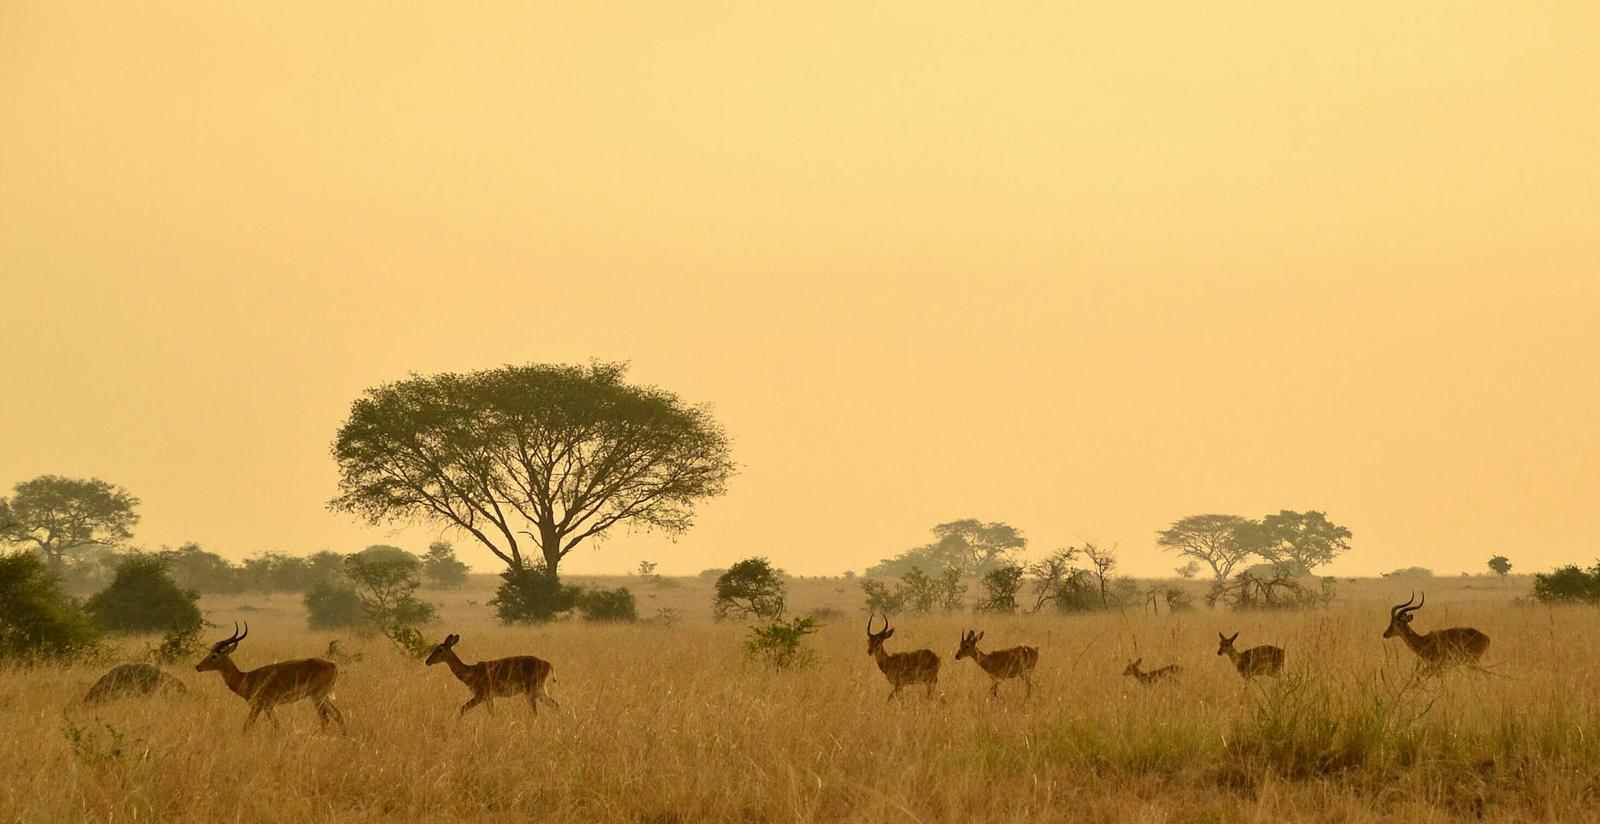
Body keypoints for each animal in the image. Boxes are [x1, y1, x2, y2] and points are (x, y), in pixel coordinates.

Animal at [194, 623, 346, 732]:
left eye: (214, 655)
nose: (198, 667)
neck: (247, 678)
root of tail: (333, 665)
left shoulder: (258, 706)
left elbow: (247, 726)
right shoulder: (269, 707)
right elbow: (277, 726)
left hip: (316, 696)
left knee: (325, 719)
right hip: (323, 696)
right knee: (338, 715)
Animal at [425, 633, 558, 716]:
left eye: (440, 649)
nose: (427, 661)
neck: (471, 672)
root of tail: (548, 663)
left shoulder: (481, 696)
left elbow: (462, 708)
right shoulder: (489, 697)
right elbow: (492, 713)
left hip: (530, 692)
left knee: (535, 712)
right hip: (540, 690)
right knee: (556, 705)